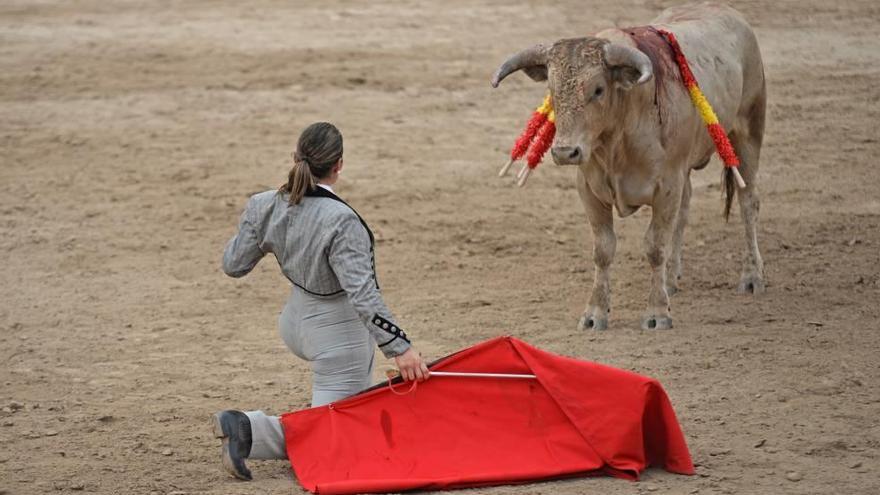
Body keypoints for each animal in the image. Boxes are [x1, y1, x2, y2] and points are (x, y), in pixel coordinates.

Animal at [492, 1, 768, 332]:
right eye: (553, 91)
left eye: (598, 89)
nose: (564, 152)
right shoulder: (589, 189)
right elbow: (603, 249)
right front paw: (595, 314)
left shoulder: (667, 186)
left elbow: (654, 246)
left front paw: (657, 313)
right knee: (685, 208)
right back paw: (671, 279)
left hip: (748, 131)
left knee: (748, 201)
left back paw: (752, 277)